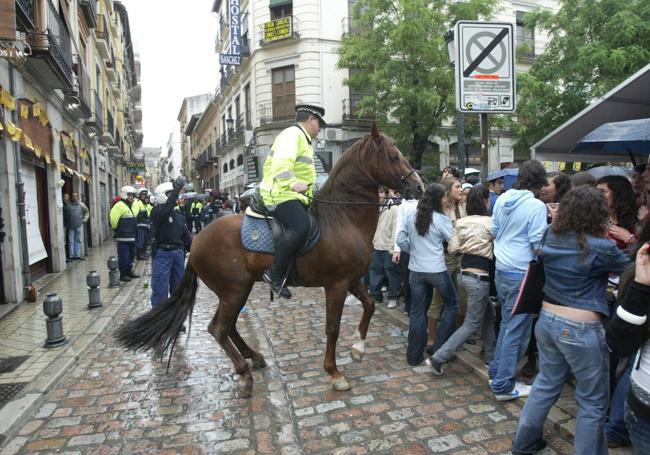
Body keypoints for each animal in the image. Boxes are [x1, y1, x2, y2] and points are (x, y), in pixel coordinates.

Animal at [114, 124, 422, 396]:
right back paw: (244, 373)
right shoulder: (336, 284)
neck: (341, 218)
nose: (419, 187)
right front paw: (334, 373)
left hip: (238, 289)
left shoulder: (353, 279)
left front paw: (358, 348)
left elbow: (369, 305)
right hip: (234, 290)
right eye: (393, 156)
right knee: (218, 328)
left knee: (229, 326)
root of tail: (196, 241)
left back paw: (254, 357)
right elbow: (332, 328)